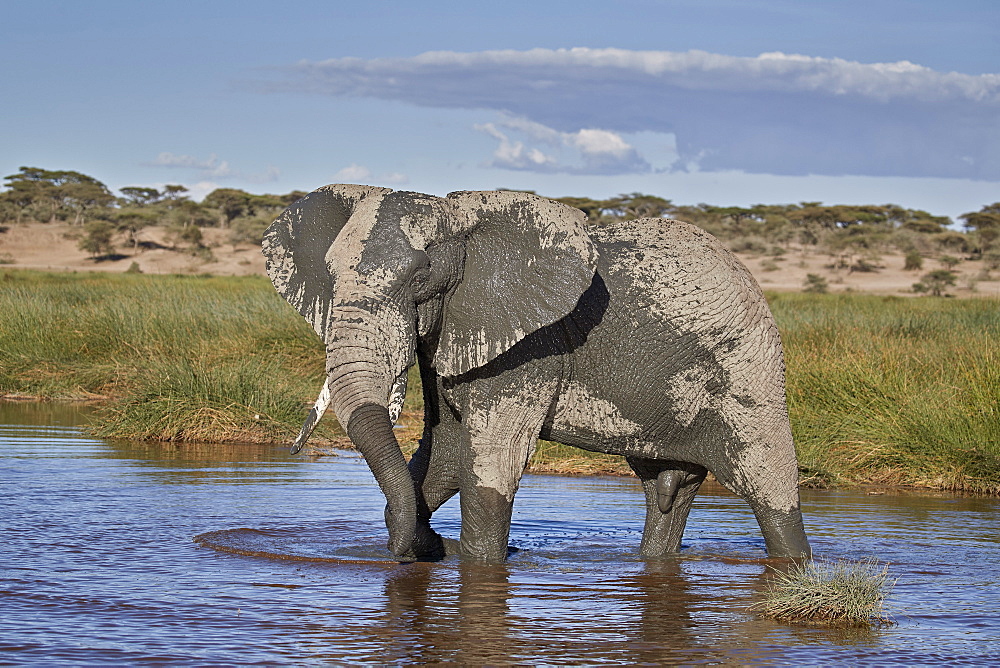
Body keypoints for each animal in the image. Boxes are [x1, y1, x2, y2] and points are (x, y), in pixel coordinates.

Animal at [264, 184, 812, 564]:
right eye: (330, 277)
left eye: (420, 278)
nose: (429, 546)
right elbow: (445, 455)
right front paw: (427, 539)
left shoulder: (531, 347)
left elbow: (491, 465)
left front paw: (476, 563)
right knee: (668, 491)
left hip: (748, 370)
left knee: (769, 488)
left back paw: (795, 565)